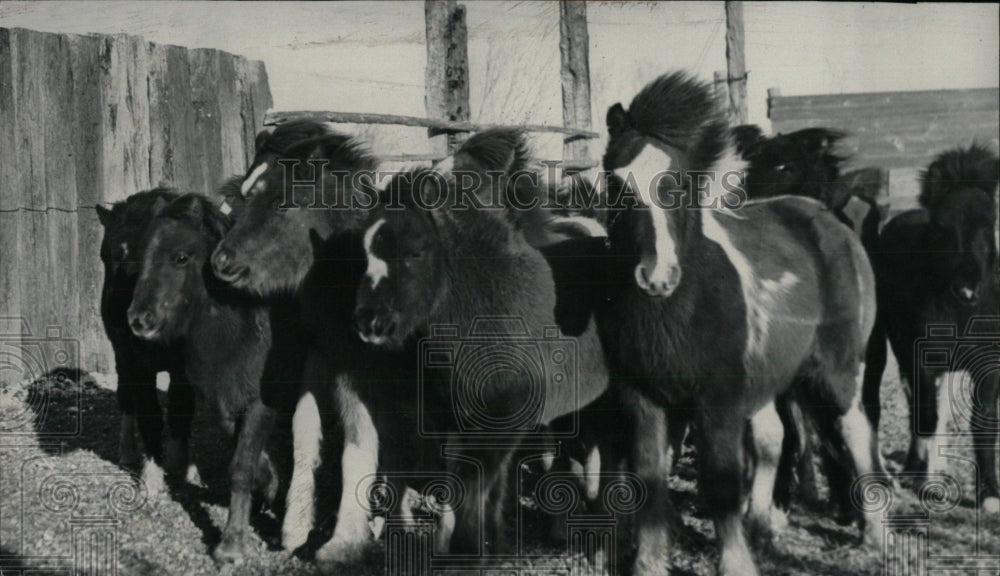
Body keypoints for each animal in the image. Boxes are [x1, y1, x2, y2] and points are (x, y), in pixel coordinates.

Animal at [864, 146, 996, 510]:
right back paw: (914, 468)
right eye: (943, 227)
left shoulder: (987, 368)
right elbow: (926, 417)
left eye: (990, 223)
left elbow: (982, 425)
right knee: (918, 409)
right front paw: (927, 484)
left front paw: (990, 494)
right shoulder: (923, 362)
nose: (967, 290)